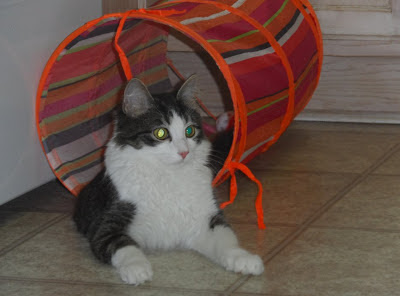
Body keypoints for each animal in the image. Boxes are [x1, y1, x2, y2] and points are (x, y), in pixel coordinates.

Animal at [73, 75, 264, 284]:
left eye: (190, 131)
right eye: (161, 133)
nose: (184, 152)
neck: (169, 175)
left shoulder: (205, 219)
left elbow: (226, 239)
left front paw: (243, 258)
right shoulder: (106, 226)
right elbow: (125, 246)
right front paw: (137, 268)